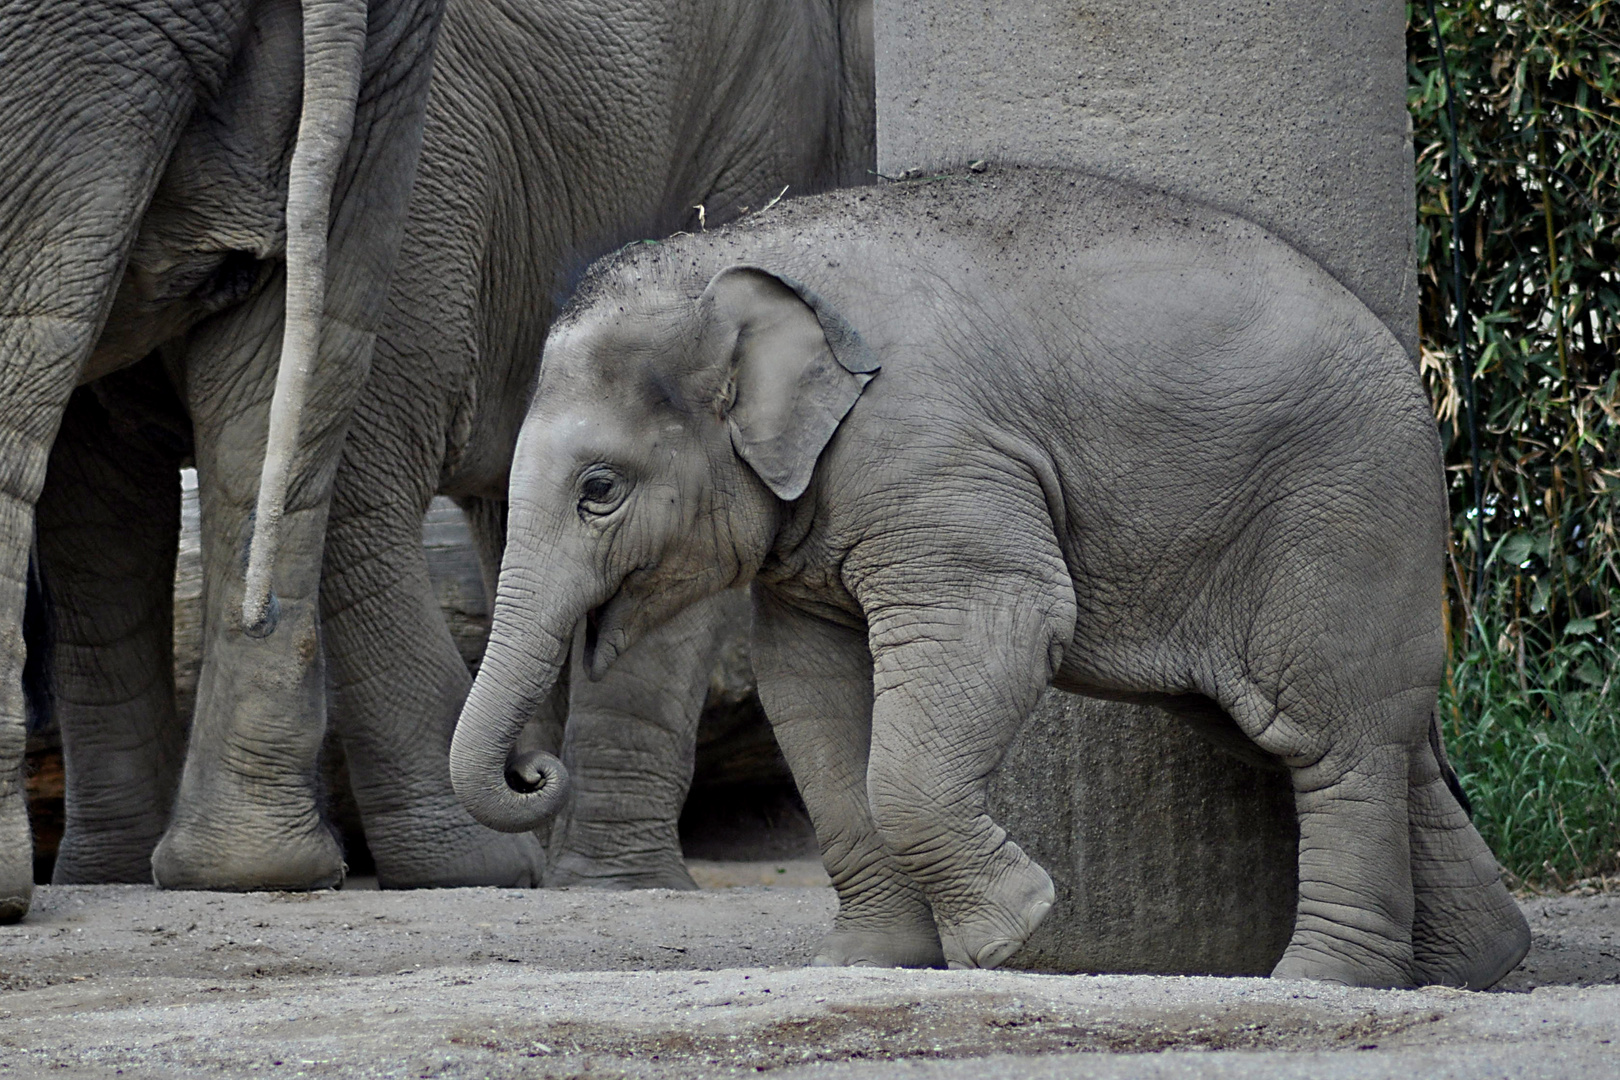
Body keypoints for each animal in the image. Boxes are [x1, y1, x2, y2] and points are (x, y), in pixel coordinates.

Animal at [453, 162, 1529, 990]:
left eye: (599, 489)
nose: (535, 769)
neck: (733, 261)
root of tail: (1419, 367)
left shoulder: (931, 454)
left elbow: (1000, 621)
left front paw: (1014, 934)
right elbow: (811, 690)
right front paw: (868, 964)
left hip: (1339, 511)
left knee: (1330, 740)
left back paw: (1320, 983)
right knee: (1345, 732)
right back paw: (1476, 965)